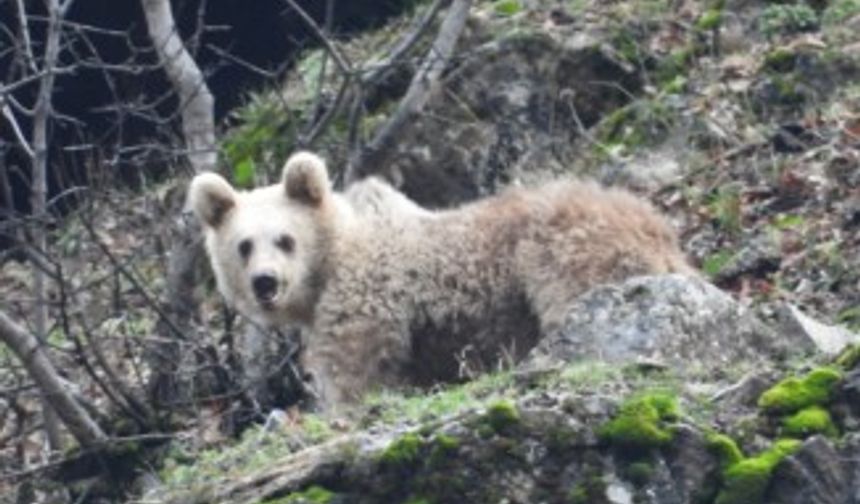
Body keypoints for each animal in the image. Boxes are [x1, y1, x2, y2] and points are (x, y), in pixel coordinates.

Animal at [188, 152, 692, 408]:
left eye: (285, 239)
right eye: (244, 245)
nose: (265, 283)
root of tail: (660, 229)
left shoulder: (366, 302)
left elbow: (356, 373)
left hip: (563, 248)